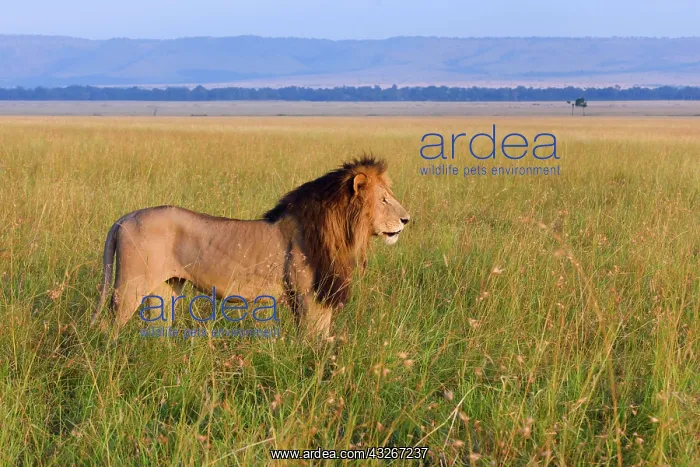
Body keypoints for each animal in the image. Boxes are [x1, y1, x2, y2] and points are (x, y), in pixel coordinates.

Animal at [93, 156, 410, 338]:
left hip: (166, 288)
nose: (407, 219)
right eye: (383, 199)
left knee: (156, 327)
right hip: (130, 285)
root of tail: (125, 217)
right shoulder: (308, 296)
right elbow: (314, 339)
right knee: (109, 325)